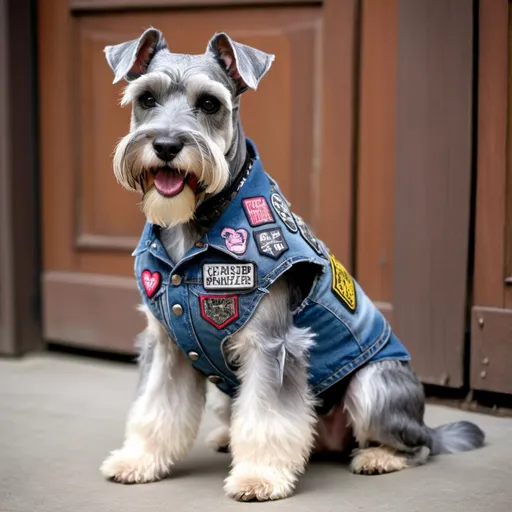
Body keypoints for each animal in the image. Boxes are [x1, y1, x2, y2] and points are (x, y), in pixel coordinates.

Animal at [99, 27, 484, 500]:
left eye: (209, 103)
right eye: (146, 98)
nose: (167, 145)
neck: (197, 226)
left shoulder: (270, 344)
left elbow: (268, 416)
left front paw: (259, 477)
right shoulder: (166, 343)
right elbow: (154, 406)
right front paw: (137, 460)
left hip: (374, 387)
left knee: (418, 446)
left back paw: (379, 457)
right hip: (229, 393)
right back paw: (227, 437)